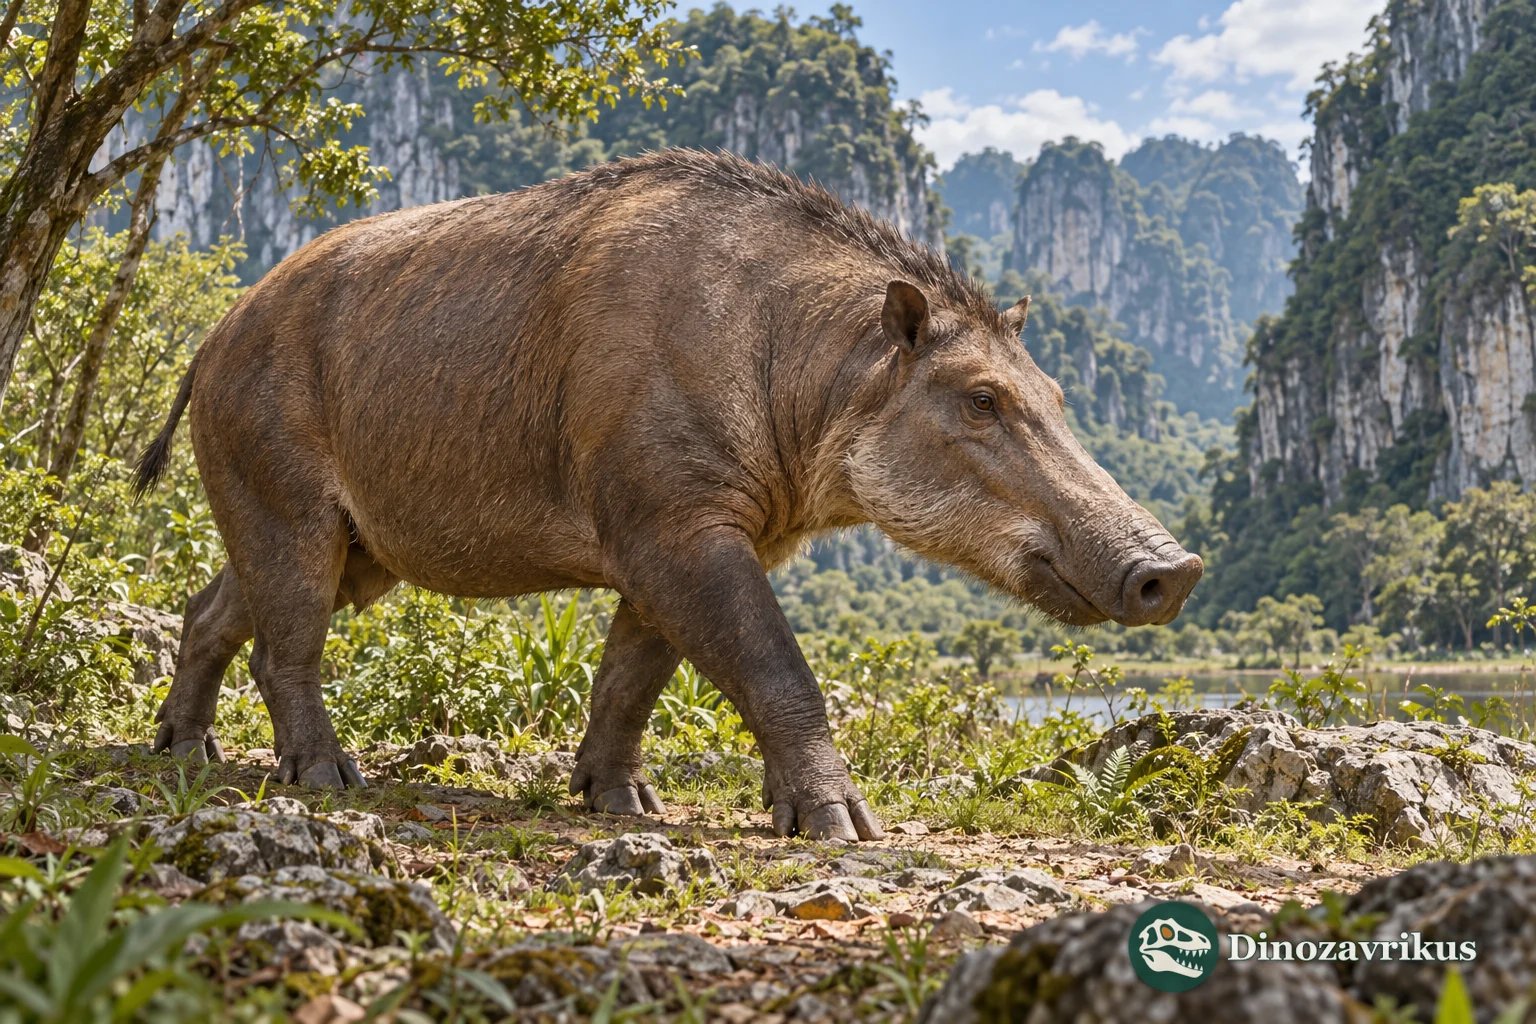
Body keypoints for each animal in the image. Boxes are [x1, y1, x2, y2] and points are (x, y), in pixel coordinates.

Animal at [135, 149, 1201, 841]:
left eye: (1057, 395)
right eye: (982, 399)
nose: (1177, 569)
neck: (796, 374)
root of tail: (207, 342)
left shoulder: (676, 536)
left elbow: (631, 677)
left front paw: (620, 805)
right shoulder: (671, 519)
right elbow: (774, 664)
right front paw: (846, 827)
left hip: (359, 547)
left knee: (210, 609)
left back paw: (183, 754)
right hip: (286, 497)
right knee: (285, 641)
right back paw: (326, 778)